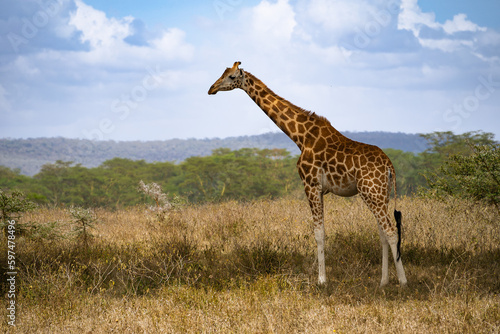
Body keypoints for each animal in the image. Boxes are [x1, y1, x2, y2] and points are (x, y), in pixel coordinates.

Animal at [207, 61, 406, 286]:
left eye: (231, 77)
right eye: (222, 73)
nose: (211, 89)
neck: (301, 136)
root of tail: (389, 166)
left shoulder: (310, 184)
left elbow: (319, 233)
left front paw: (321, 280)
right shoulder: (319, 189)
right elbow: (322, 231)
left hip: (371, 191)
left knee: (391, 231)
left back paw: (403, 281)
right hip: (381, 193)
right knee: (383, 232)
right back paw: (383, 281)